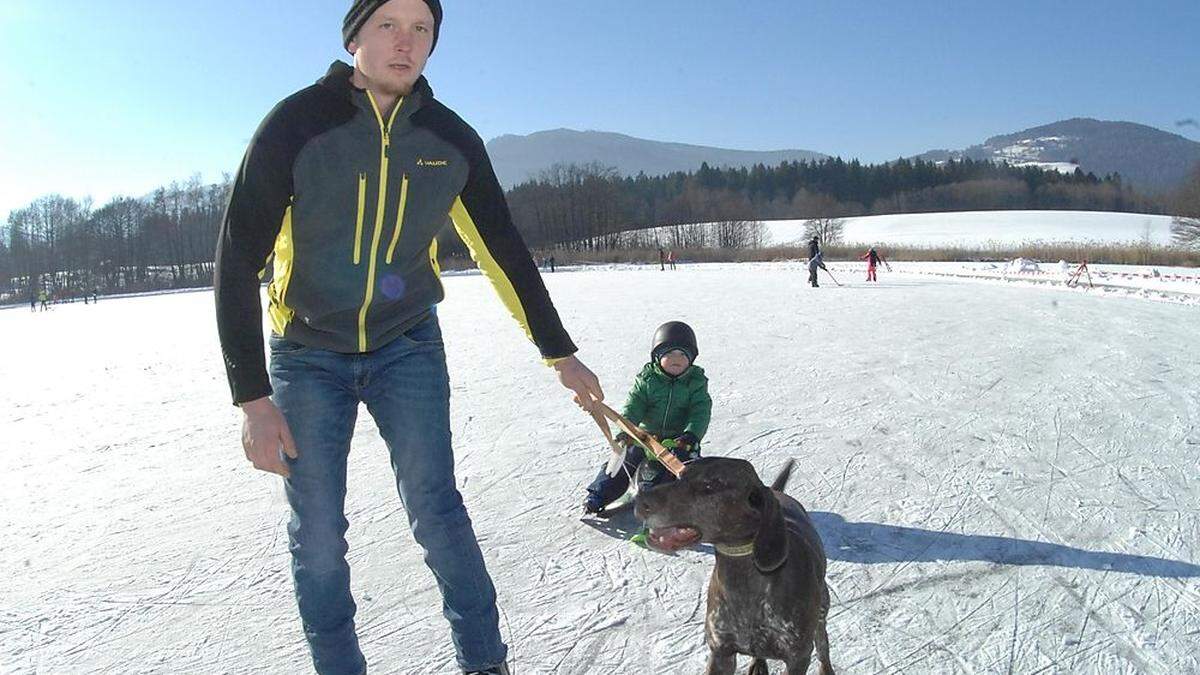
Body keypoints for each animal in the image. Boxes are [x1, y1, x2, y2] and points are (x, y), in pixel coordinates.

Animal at [633, 456, 830, 672]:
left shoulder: (797, 657)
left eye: (710, 485)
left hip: (822, 611)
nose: (639, 502)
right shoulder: (721, 653)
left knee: (822, 643)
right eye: (680, 475)